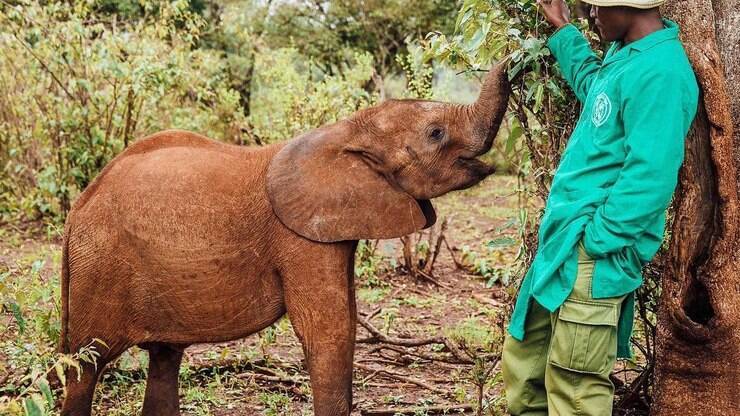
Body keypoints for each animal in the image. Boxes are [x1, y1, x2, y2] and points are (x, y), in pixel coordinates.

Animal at [58, 61, 510, 416]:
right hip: (100, 264)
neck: (348, 129)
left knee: (165, 358)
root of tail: (79, 207)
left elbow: (344, 321)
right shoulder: (298, 237)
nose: (515, 59)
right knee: (86, 364)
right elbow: (327, 330)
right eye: (435, 133)